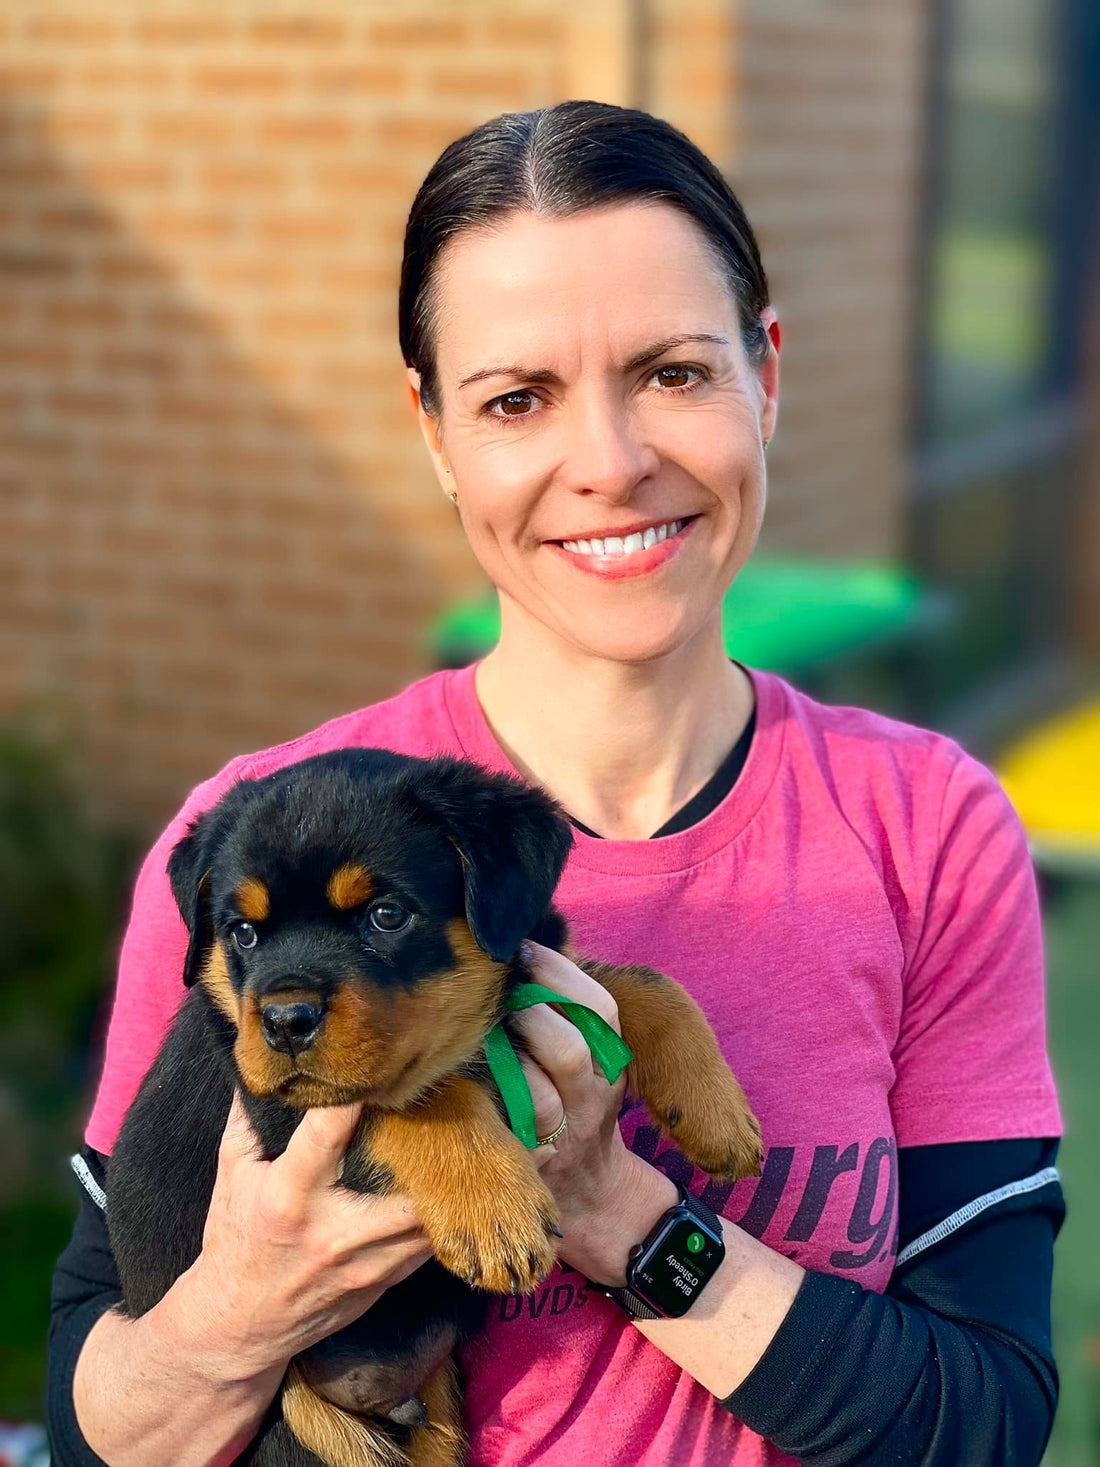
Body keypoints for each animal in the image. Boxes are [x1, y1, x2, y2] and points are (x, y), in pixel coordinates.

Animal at [107, 751, 762, 1461]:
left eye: (387, 916)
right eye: (244, 934)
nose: (284, 1023)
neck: (469, 1032)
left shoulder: (531, 982)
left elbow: (638, 985)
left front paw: (718, 1115)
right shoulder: (280, 1106)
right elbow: (424, 1098)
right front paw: (495, 1211)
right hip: (294, 1426)